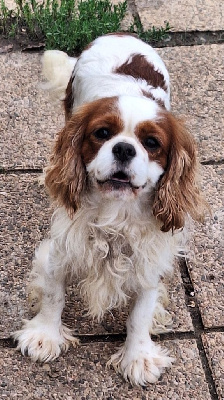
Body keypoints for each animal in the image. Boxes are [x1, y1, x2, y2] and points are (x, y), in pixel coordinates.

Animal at [11, 33, 205, 384]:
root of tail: (119, 34)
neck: (116, 214)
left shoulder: (148, 262)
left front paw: (138, 356)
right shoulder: (60, 249)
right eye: (102, 133)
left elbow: (141, 312)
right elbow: (54, 293)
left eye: (152, 143)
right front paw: (45, 335)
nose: (124, 148)